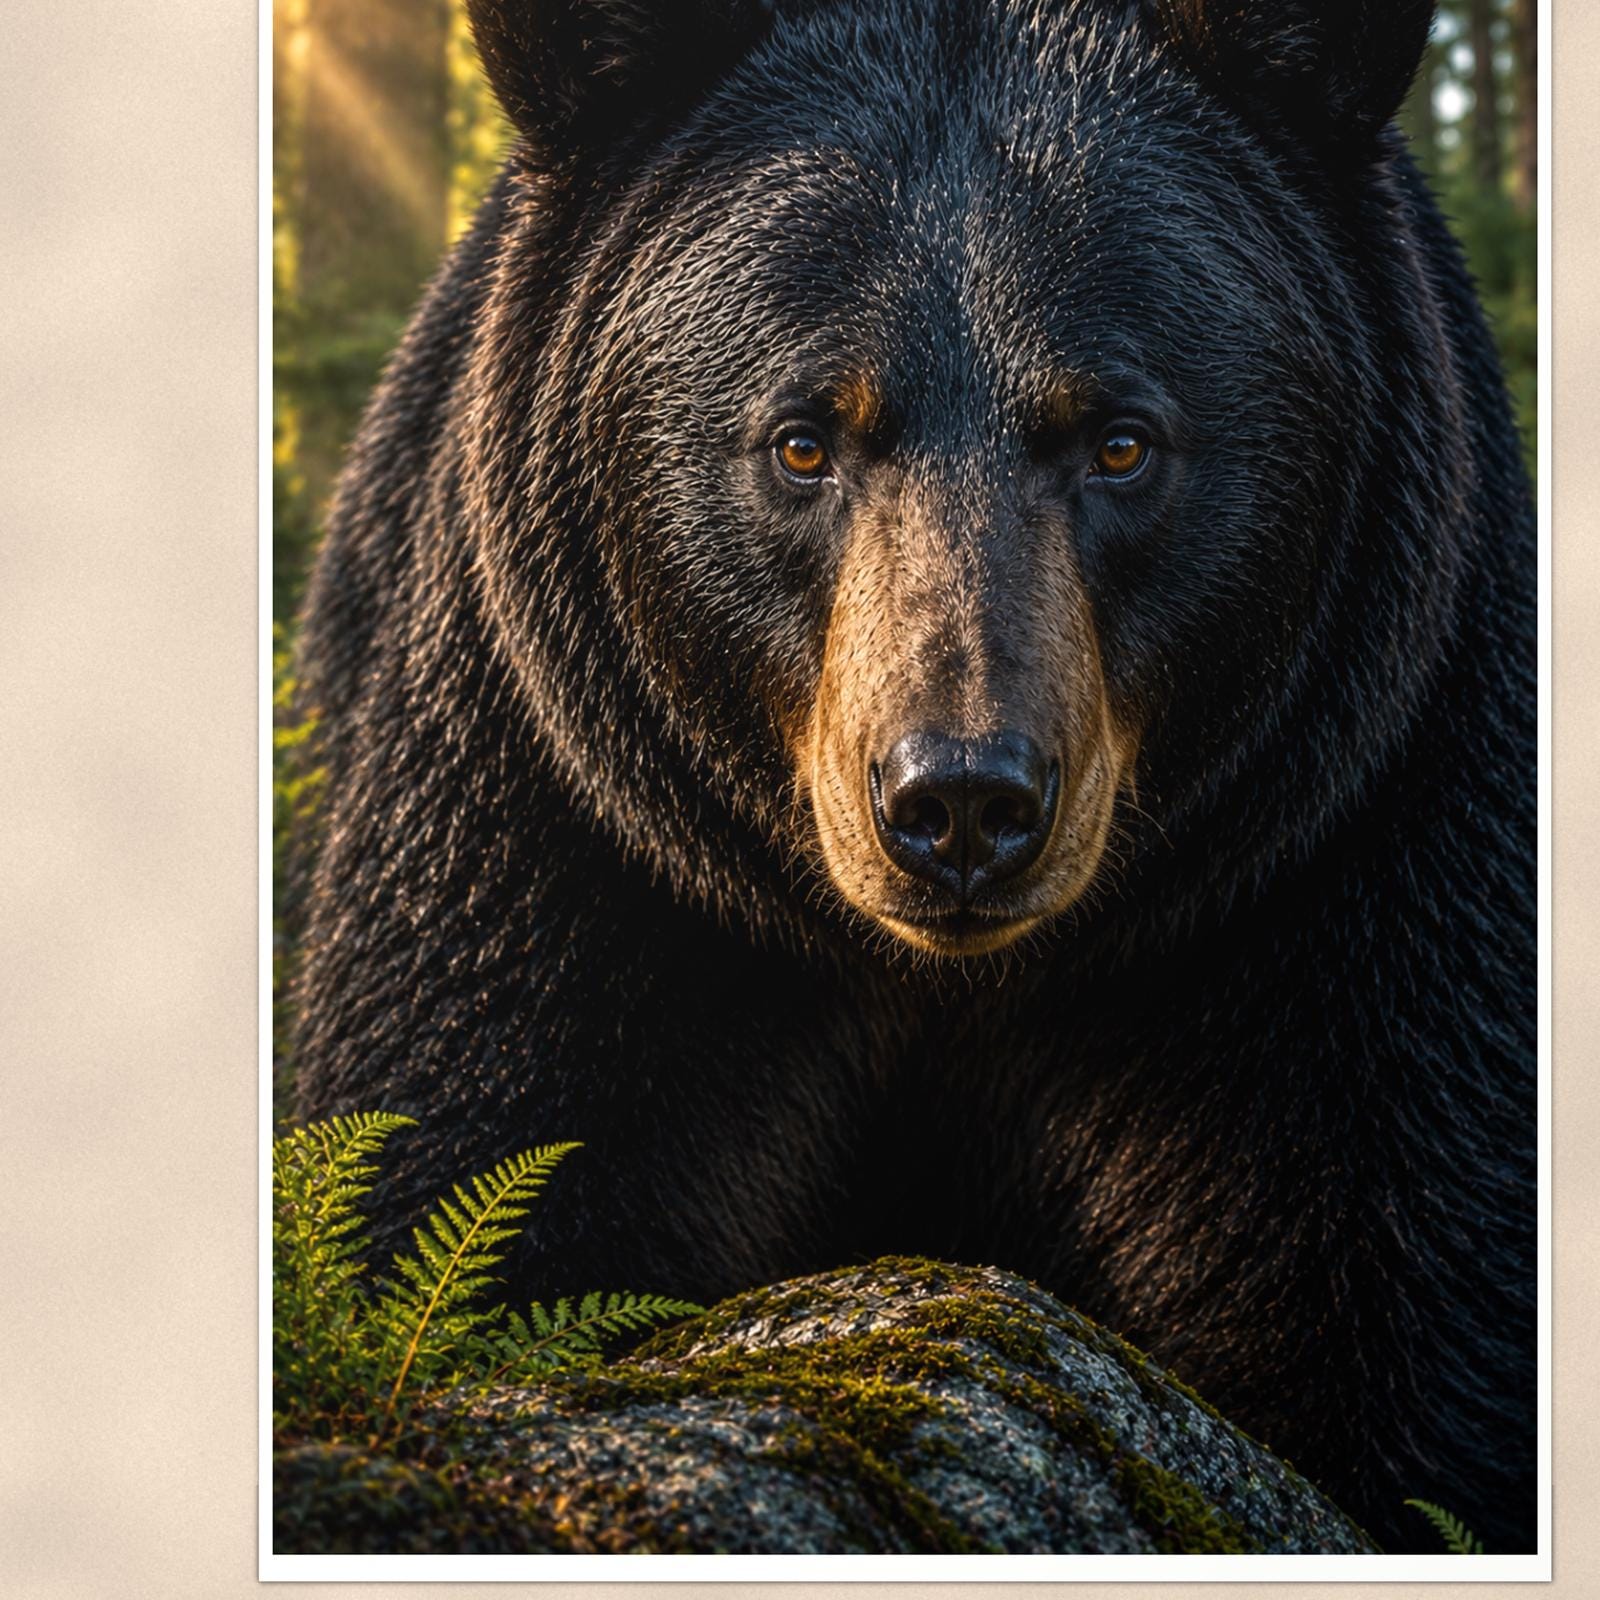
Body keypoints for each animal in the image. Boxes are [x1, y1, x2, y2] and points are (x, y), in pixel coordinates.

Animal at [290, 0, 1537, 1555]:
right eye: (801, 439)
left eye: (1119, 438)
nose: (959, 803)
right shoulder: (566, 828)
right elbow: (484, 1146)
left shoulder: (1354, 852)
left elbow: (1407, 1286)